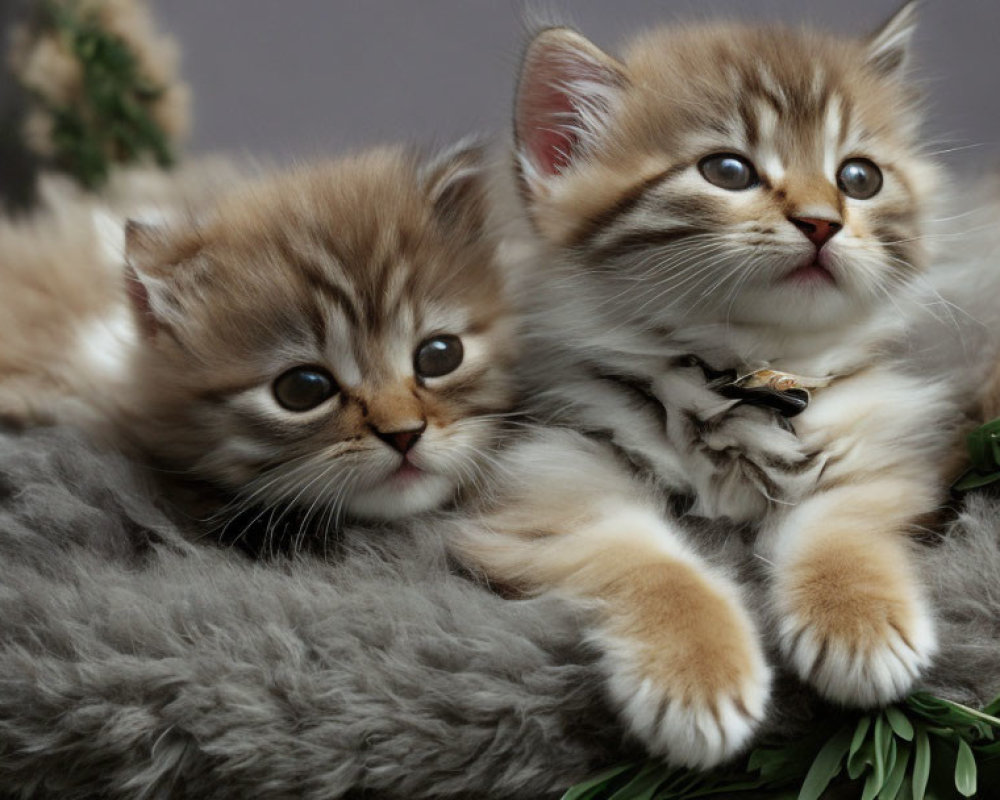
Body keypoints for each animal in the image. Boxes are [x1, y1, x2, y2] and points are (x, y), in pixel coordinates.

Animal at [456, 1, 960, 768]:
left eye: (860, 178)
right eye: (727, 170)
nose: (823, 221)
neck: (744, 374)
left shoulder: (885, 452)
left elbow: (842, 522)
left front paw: (861, 619)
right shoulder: (550, 472)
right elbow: (649, 565)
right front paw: (698, 674)